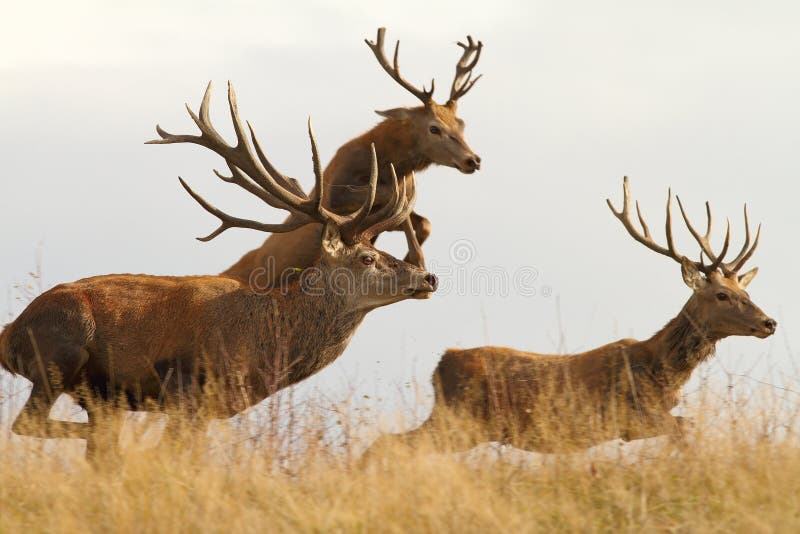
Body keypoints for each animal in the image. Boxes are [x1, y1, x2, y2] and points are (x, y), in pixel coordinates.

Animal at [0, 84, 438, 460]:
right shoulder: (187, 392)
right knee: (31, 424)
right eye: (366, 257)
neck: (263, 344)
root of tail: (10, 335)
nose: (428, 278)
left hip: (99, 395)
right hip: (59, 356)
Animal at [366, 177, 780, 460]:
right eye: (722, 294)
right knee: (387, 443)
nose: (769, 323)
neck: (659, 370)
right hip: (458, 419)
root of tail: (441, 364)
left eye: (747, 292)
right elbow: (686, 430)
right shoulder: (628, 416)